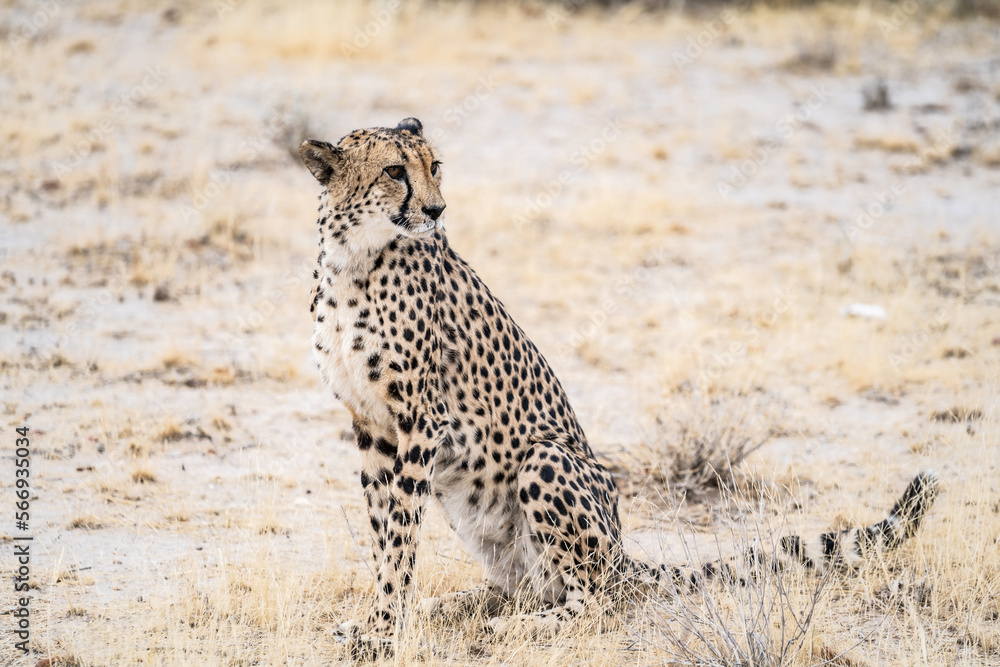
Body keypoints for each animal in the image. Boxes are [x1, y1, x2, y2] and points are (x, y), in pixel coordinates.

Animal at [298, 118, 939, 660]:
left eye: (435, 165)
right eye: (394, 171)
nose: (436, 208)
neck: (353, 259)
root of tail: (624, 555)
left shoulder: (419, 422)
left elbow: (399, 539)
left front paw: (384, 633)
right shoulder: (373, 426)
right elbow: (384, 531)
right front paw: (378, 621)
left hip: (546, 459)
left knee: (594, 601)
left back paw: (516, 625)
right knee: (527, 586)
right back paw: (454, 605)